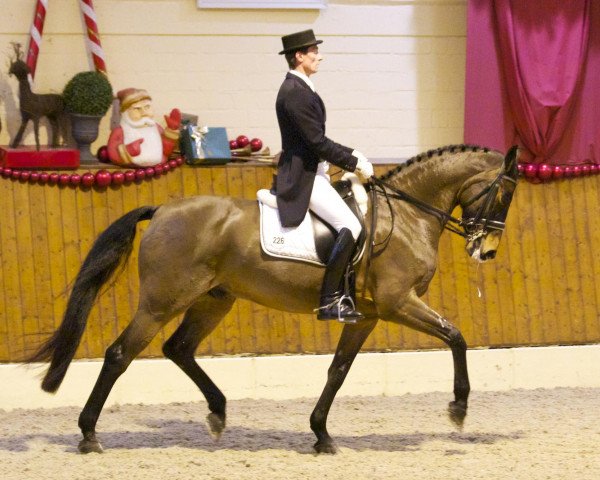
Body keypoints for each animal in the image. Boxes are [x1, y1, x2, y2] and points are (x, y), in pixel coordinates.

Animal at [25, 142, 516, 454]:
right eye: (505, 193)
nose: (487, 251)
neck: (409, 215)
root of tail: (162, 209)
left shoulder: (366, 317)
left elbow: (338, 371)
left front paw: (321, 434)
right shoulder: (398, 303)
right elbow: (456, 336)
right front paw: (458, 407)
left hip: (213, 299)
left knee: (178, 348)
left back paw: (218, 412)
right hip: (163, 302)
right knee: (120, 354)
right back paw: (89, 434)